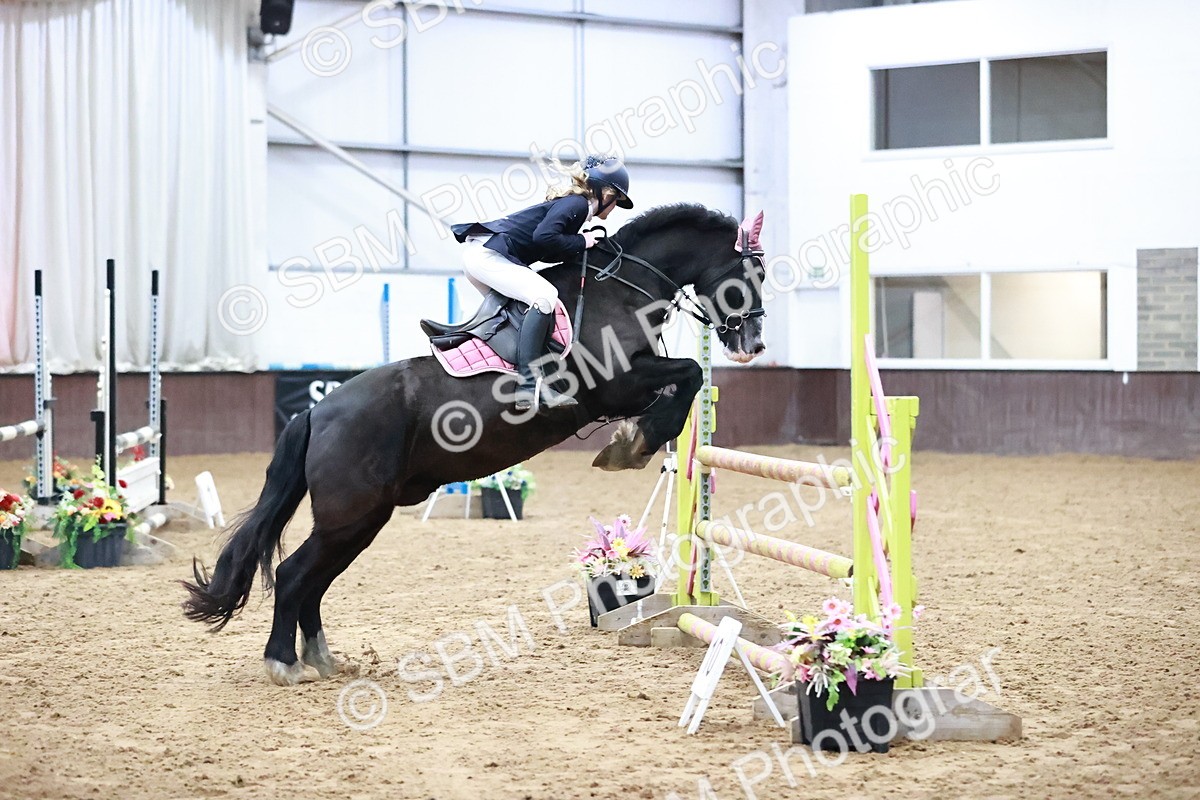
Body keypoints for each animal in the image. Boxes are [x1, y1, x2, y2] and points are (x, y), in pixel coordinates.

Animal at [182, 203, 770, 685]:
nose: (753, 344)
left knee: (313, 580)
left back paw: (322, 659)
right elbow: (688, 374)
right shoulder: (616, 383)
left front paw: (633, 442)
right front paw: (632, 445)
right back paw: (284, 663)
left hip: (360, 520)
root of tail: (316, 412)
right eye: (752, 274)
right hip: (349, 515)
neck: (621, 290)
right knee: (293, 575)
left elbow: (684, 382)